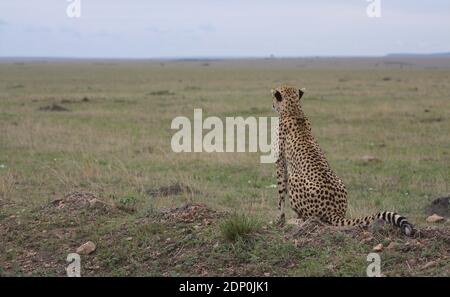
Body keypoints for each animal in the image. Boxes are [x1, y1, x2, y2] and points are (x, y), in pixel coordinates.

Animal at [270, 84, 414, 235]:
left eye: (273, 97)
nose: (272, 104)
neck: (293, 110)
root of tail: (334, 211)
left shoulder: (280, 162)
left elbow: (281, 193)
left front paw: (279, 220)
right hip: (340, 183)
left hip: (295, 178)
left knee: (312, 219)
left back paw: (294, 221)